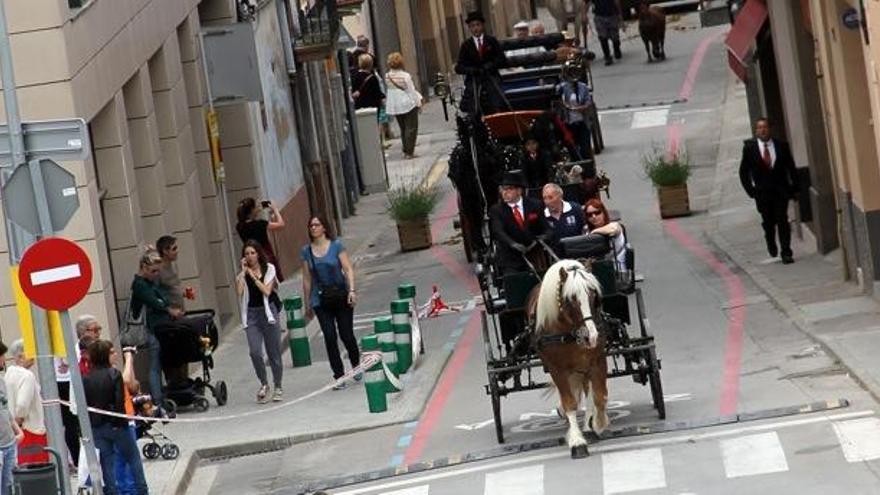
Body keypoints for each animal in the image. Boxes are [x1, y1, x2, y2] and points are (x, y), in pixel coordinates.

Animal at [524, 262, 608, 460]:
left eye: (594, 295)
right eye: (570, 299)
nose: (591, 337)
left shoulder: (597, 361)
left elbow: (599, 396)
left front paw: (597, 424)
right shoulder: (557, 369)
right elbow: (570, 403)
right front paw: (577, 442)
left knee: (587, 390)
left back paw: (588, 426)